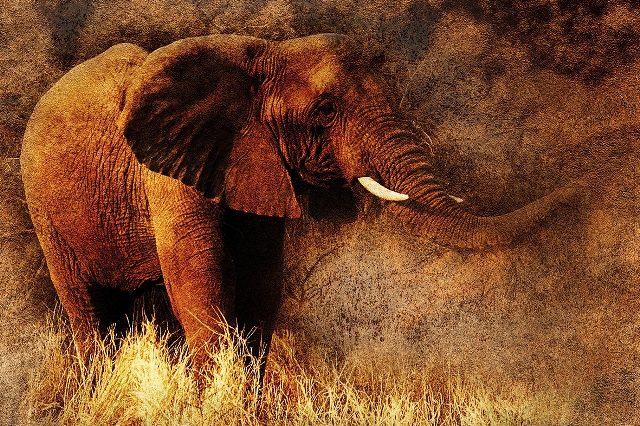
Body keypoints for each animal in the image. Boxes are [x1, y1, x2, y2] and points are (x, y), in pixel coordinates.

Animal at [20, 33, 584, 370]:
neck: (260, 56)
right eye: (326, 111)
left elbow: (260, 277)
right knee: (88, 308)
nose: (584, 183)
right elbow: (198, 276)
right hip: (44, 209)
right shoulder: (165, 169)